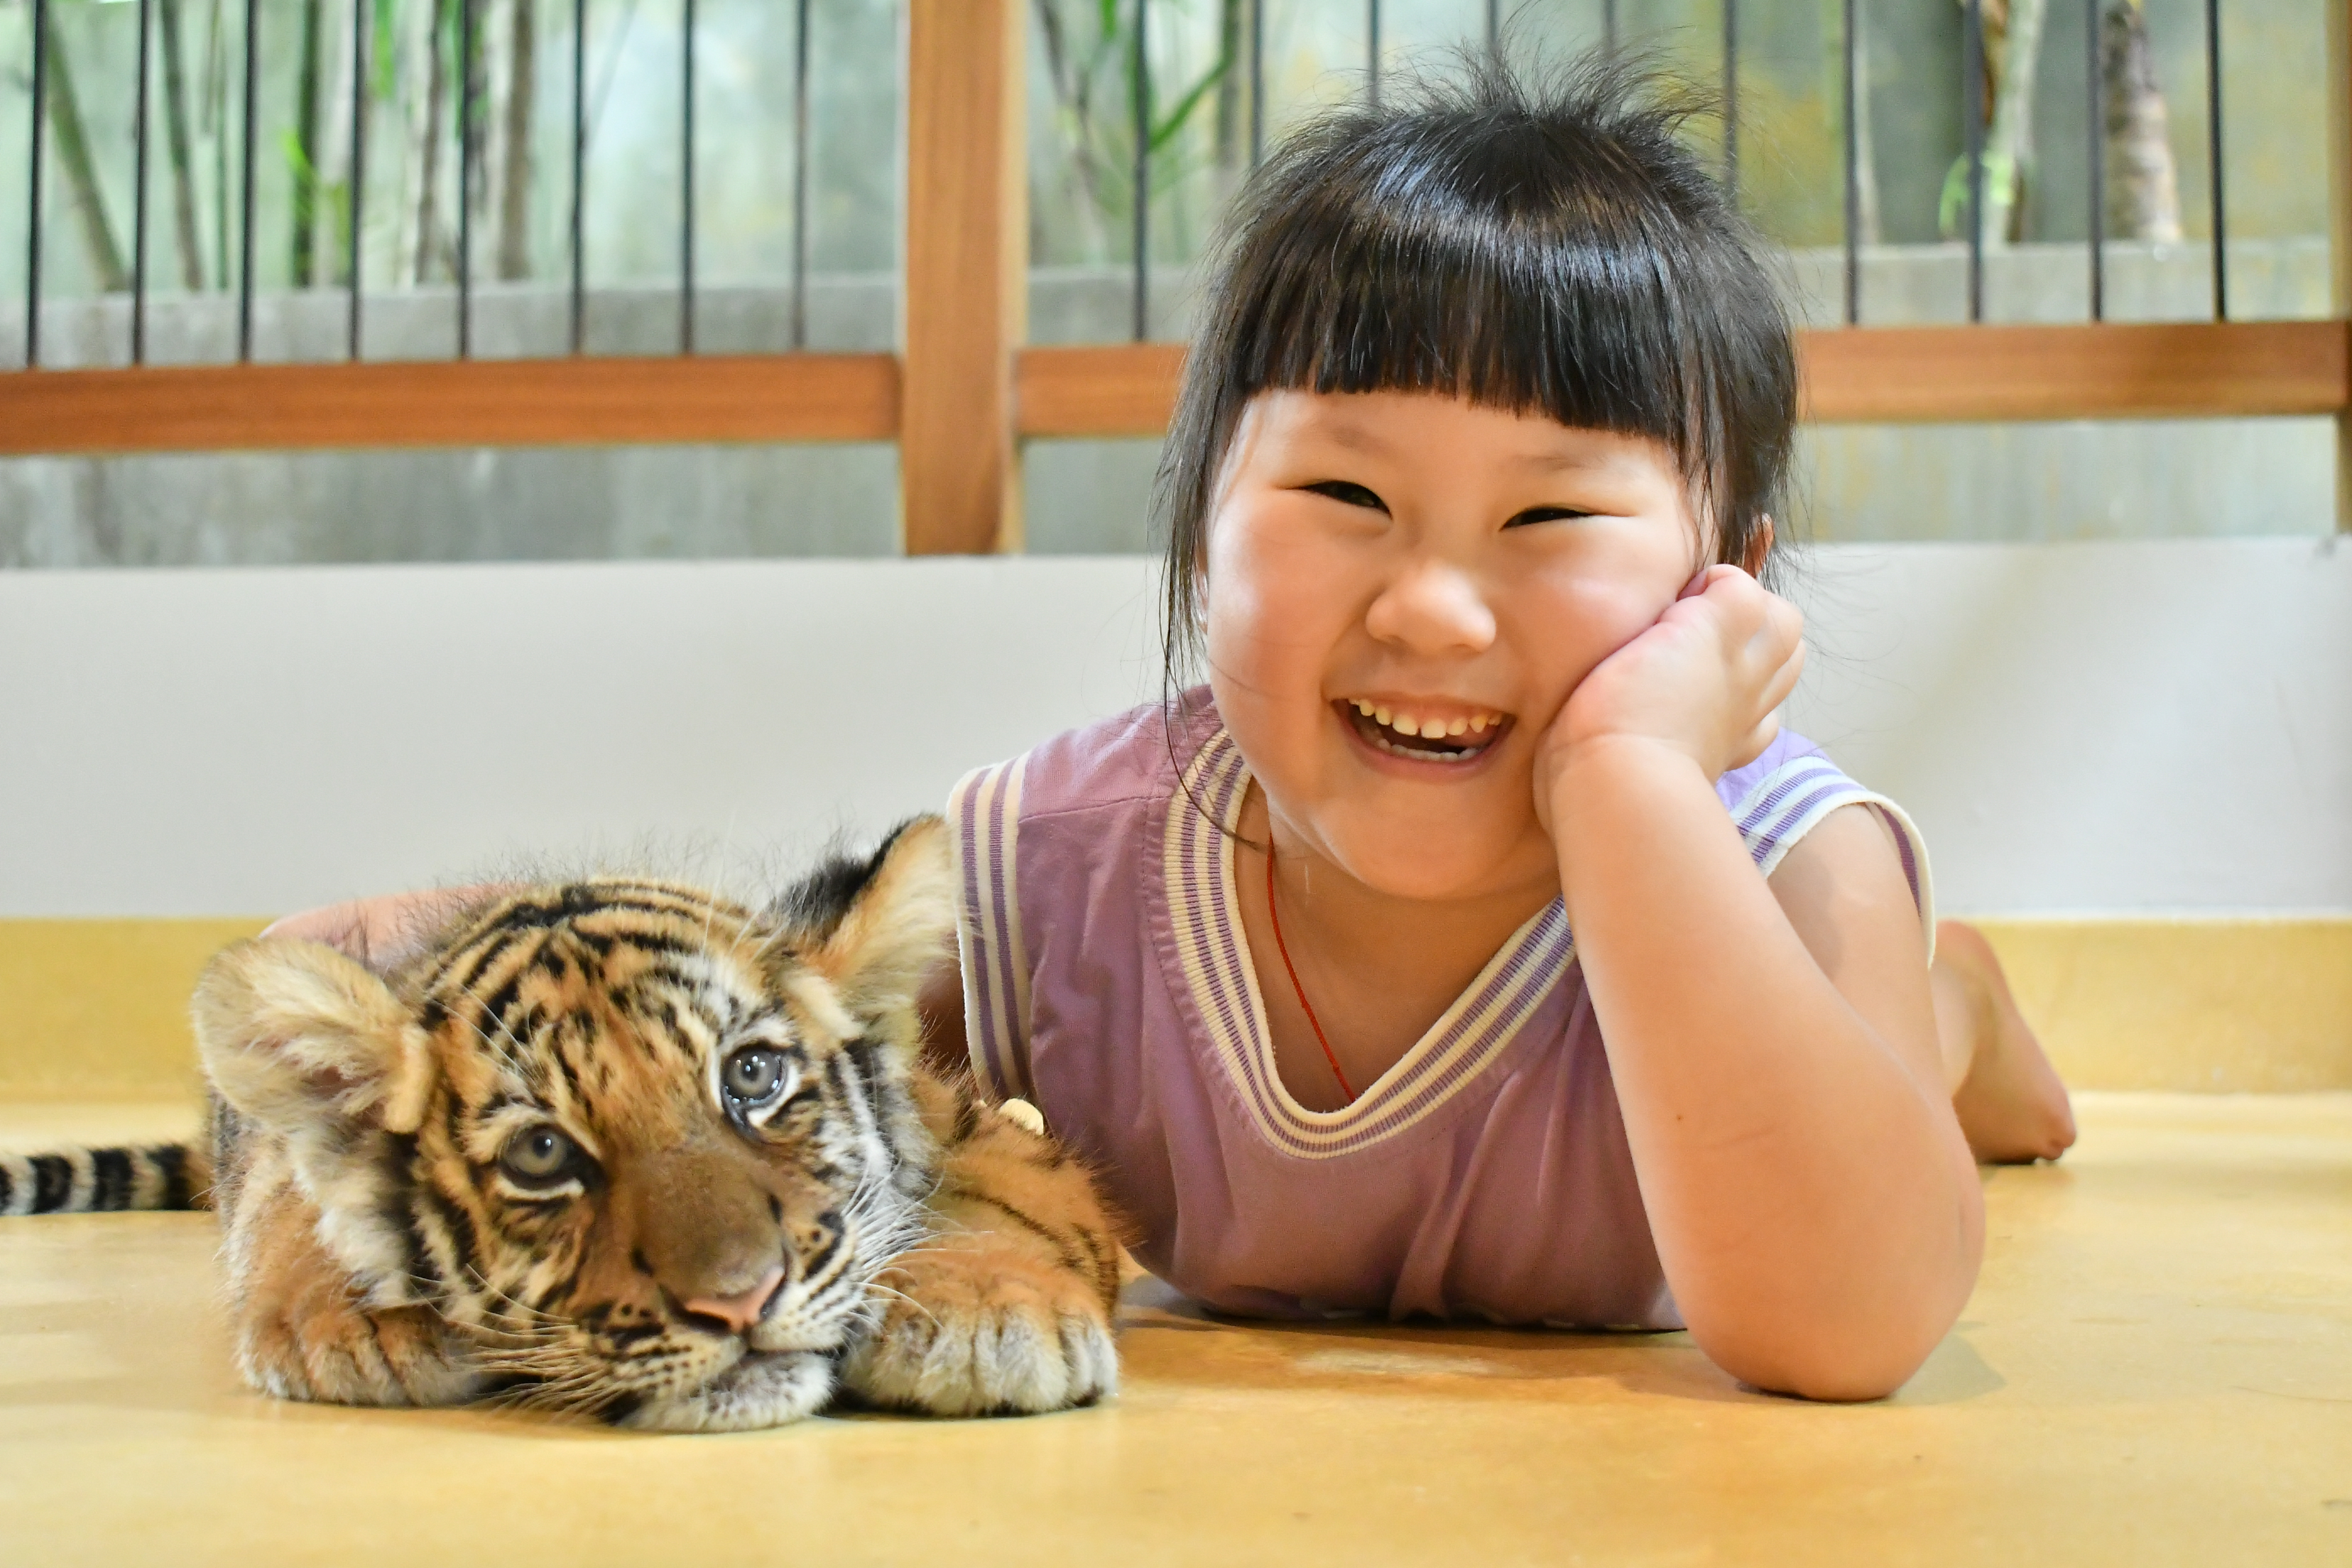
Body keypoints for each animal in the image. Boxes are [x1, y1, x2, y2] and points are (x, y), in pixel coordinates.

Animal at [0, 816, 1126, 1431]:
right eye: (543, 1153)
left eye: (753, 1076)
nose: (738, 1303)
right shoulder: (281, 1162)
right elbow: (293, 1204)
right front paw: (356, 1321)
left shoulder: (984, 1128)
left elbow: (1008, 1204)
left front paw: (984, 1317)